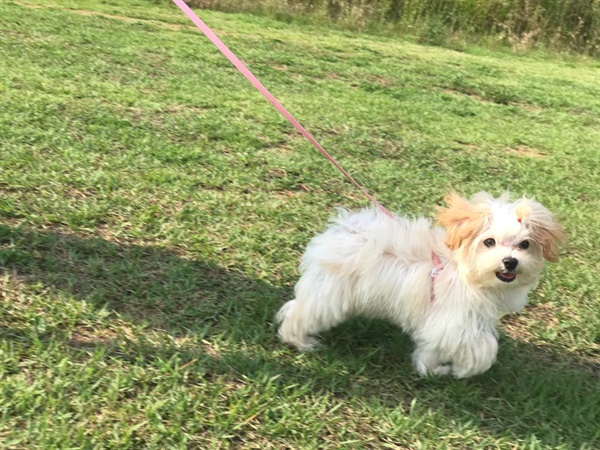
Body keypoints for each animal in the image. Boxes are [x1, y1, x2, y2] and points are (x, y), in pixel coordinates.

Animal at [278, 192, 564, 378]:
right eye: (489, 242)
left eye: (525, 245)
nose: (510, 262)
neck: (464, 270)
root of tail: (343, 230)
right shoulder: (457, 322)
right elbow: (484, 348)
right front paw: (462, 370)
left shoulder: (439, 324)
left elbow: (432, 345)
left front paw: (430, 369)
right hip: (330, 295)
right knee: (299, 312)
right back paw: (299, 341)